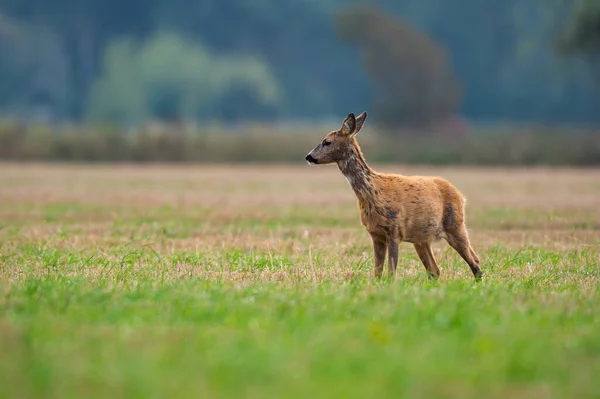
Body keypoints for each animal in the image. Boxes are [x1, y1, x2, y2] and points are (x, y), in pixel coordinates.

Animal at [304, 111, 482, 282]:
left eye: (327, 142)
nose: (309, 156)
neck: (373, 192)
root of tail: (461, 195)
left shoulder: (394, 230)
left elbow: (391, 272)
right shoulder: (375, 234)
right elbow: (377, 272)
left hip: (455, 225)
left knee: (475, 261)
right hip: (422, 239)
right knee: (435, 270)